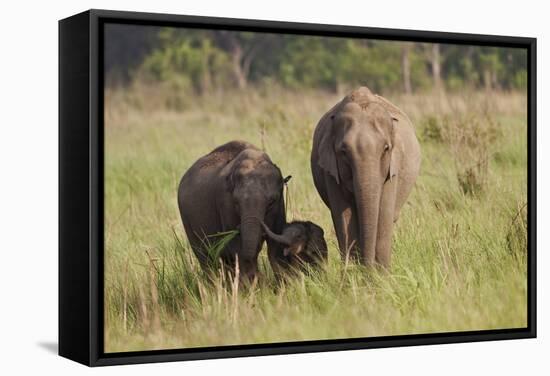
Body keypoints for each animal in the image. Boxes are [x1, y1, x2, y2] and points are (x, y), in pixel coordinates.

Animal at [179, 141, 292, 282]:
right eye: (236, 202)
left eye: (272, 201)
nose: (262, 277)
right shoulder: (225, 202)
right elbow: (237, 248)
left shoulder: (279, 207)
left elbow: (276, 244)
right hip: (187, 222)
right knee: (206, 258)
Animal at [310, 86, 422, 268]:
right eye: (343, 152)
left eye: (386, 148)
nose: (368, 268)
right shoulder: (330, 172)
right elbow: (344, 218)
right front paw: (353, 273)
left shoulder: (392, 170)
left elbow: (383, 215)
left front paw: (380, 274)